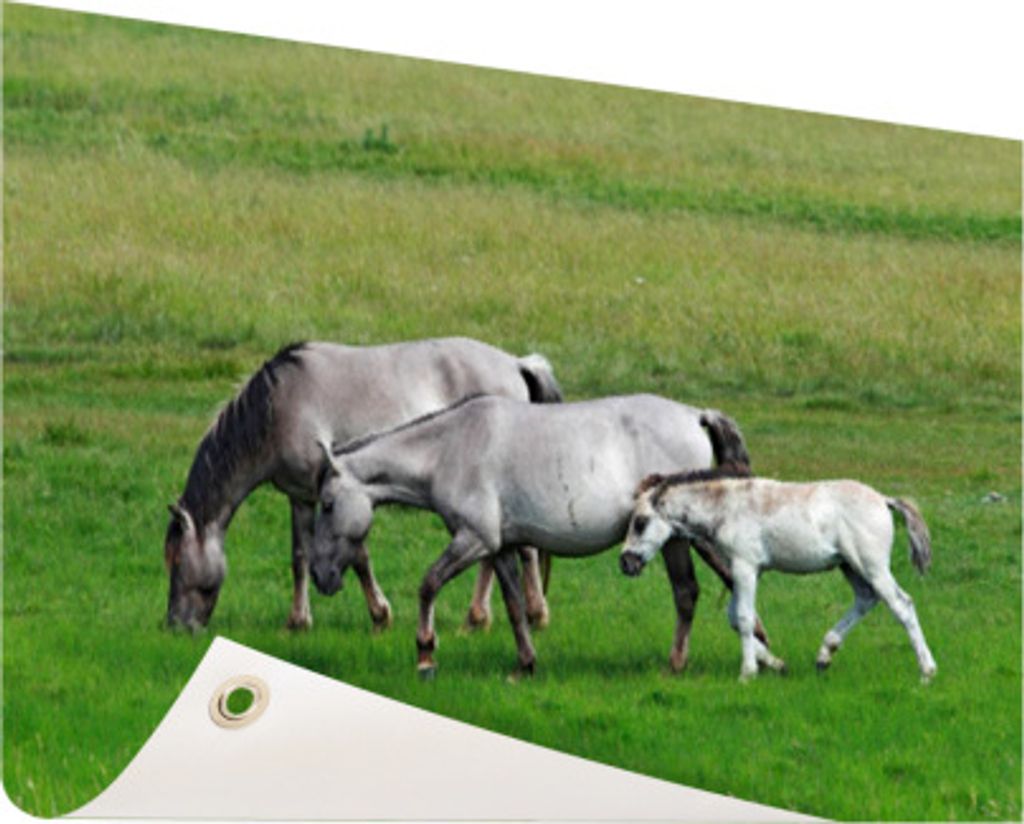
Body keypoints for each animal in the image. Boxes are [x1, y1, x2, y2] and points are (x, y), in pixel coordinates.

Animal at [164, 337, 562, 631]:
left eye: (178, 560)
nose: (176, 625)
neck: (279, 409)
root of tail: (516, 363)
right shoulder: (301, 497)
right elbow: (300, 556)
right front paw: (298, 621)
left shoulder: (341, 494)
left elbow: (357, 556)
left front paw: (380, 615)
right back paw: (483, 616)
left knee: (522, 550)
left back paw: (528, 614)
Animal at [311, 393, 767, 677]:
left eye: (328, 504)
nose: (320, 576)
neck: (448, 449)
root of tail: (695, 414)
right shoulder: (499, 548)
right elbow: (514, 605)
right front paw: (526, 664)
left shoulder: (473, 539)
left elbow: (429, 584)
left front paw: (425, 652)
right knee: (700, 589)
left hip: (684, 538)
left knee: (700, 589)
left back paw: (697, 661)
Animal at [620, 464, 937, 682]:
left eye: (641, 522)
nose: (626, 563)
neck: (728, 507)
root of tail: (884, 500)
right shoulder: (746, 571)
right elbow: (736, 618)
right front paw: (776, 664)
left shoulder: (745, 567)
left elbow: (744, 618)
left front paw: (747, 673)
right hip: (850, 566)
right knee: (866, 599)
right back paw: (825, 654)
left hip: (872, 566)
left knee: (902, 605)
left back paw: (927, 672)